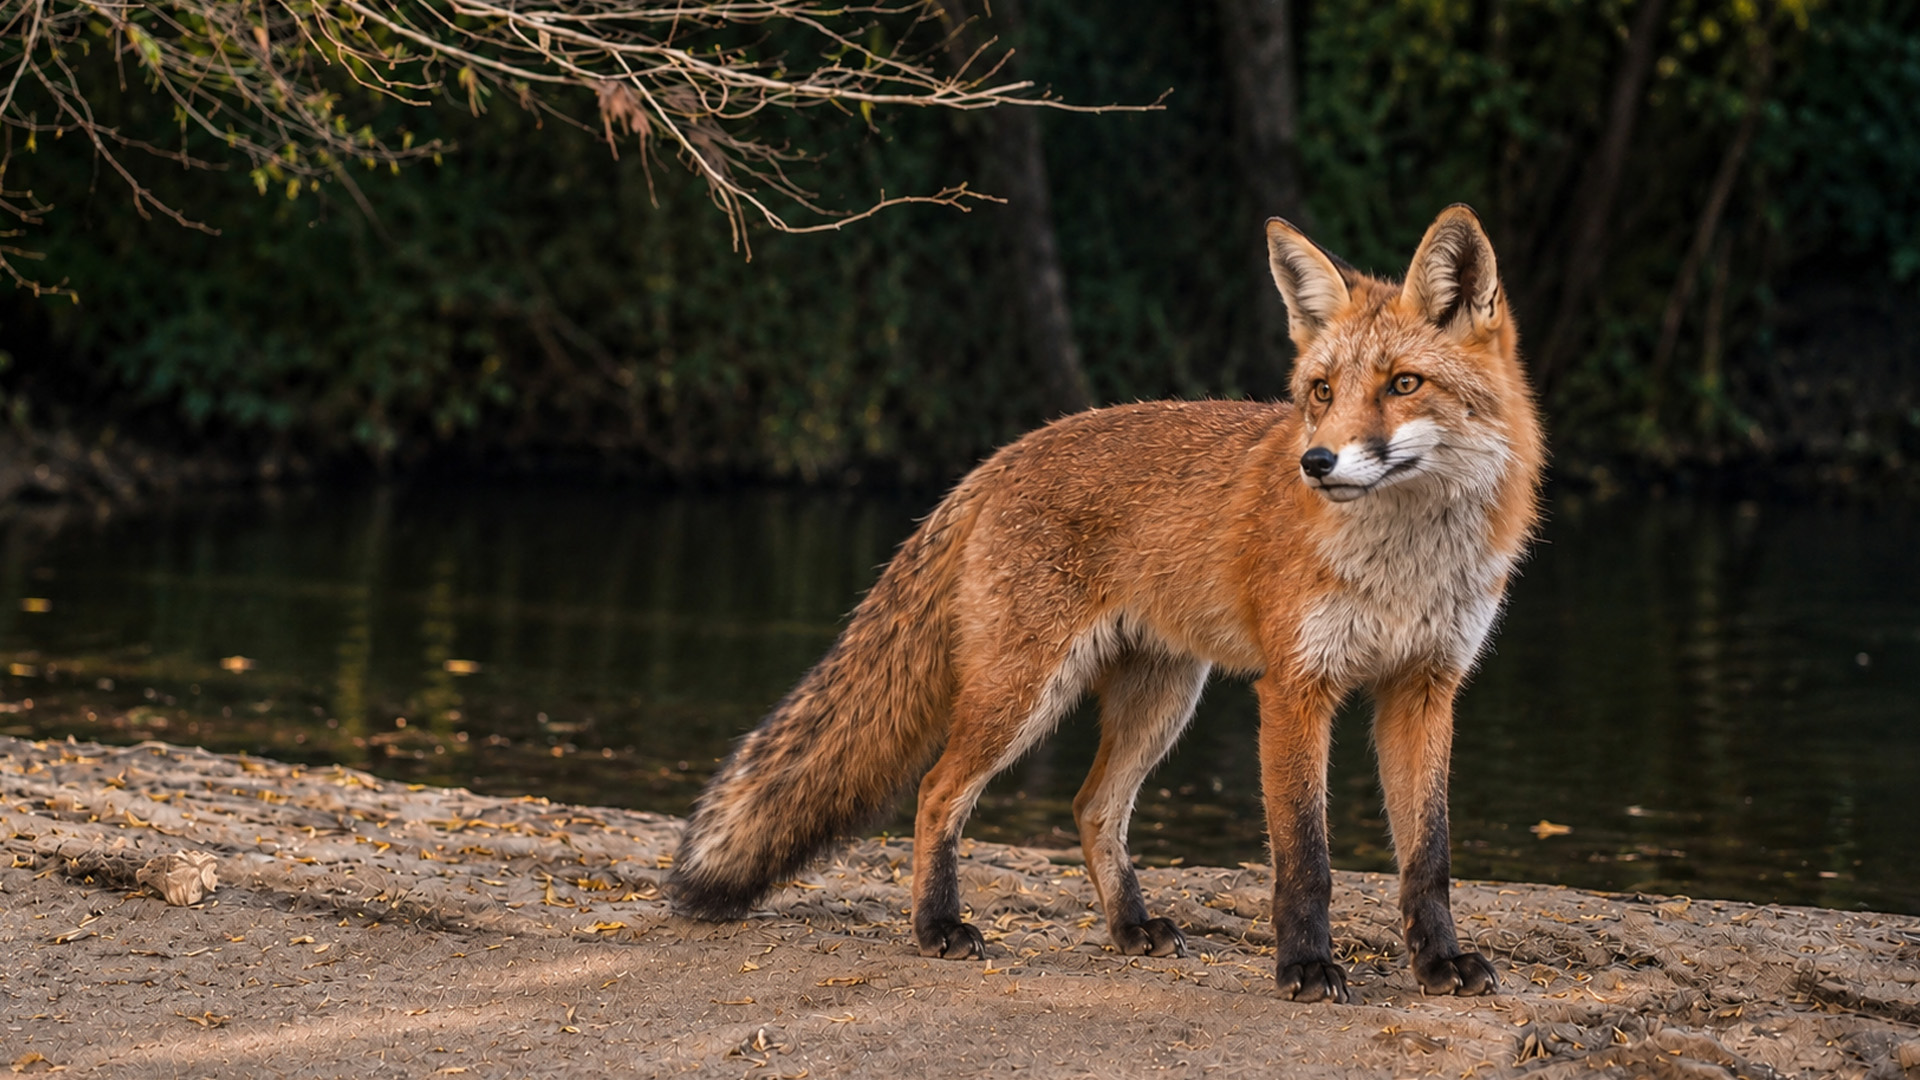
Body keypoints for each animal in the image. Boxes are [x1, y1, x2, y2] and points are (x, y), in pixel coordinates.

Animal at [668, 204, 1545, 1002]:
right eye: (1322, 392)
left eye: (1404, 384)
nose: (1317, 461)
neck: (1404, 565)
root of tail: (1002, 455)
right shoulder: (1297, 689)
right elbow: (1305, 859)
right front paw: (1304, 967)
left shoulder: (1424, 688)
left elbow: (1427, 857)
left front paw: (1440, 964)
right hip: (1026, 693)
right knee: (937, 792)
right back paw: (936, 925)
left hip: (1161, 698)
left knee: (1092, 808)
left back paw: (1129, 927)